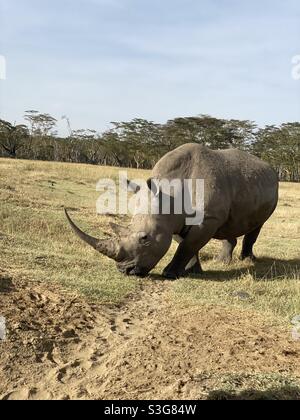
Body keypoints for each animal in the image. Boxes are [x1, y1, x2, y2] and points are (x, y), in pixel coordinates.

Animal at [65, 144, 278, 278]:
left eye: (145, 238)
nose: (125, 271)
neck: (170, 194)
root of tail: (268, 166)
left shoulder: (207, 218)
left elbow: (188, 245)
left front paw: (169, 274)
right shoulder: (174, 221)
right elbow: (187, 245)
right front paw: (191, 271)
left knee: (258, 224)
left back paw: (247, 260)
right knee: (231, 223)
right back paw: (223, 262)